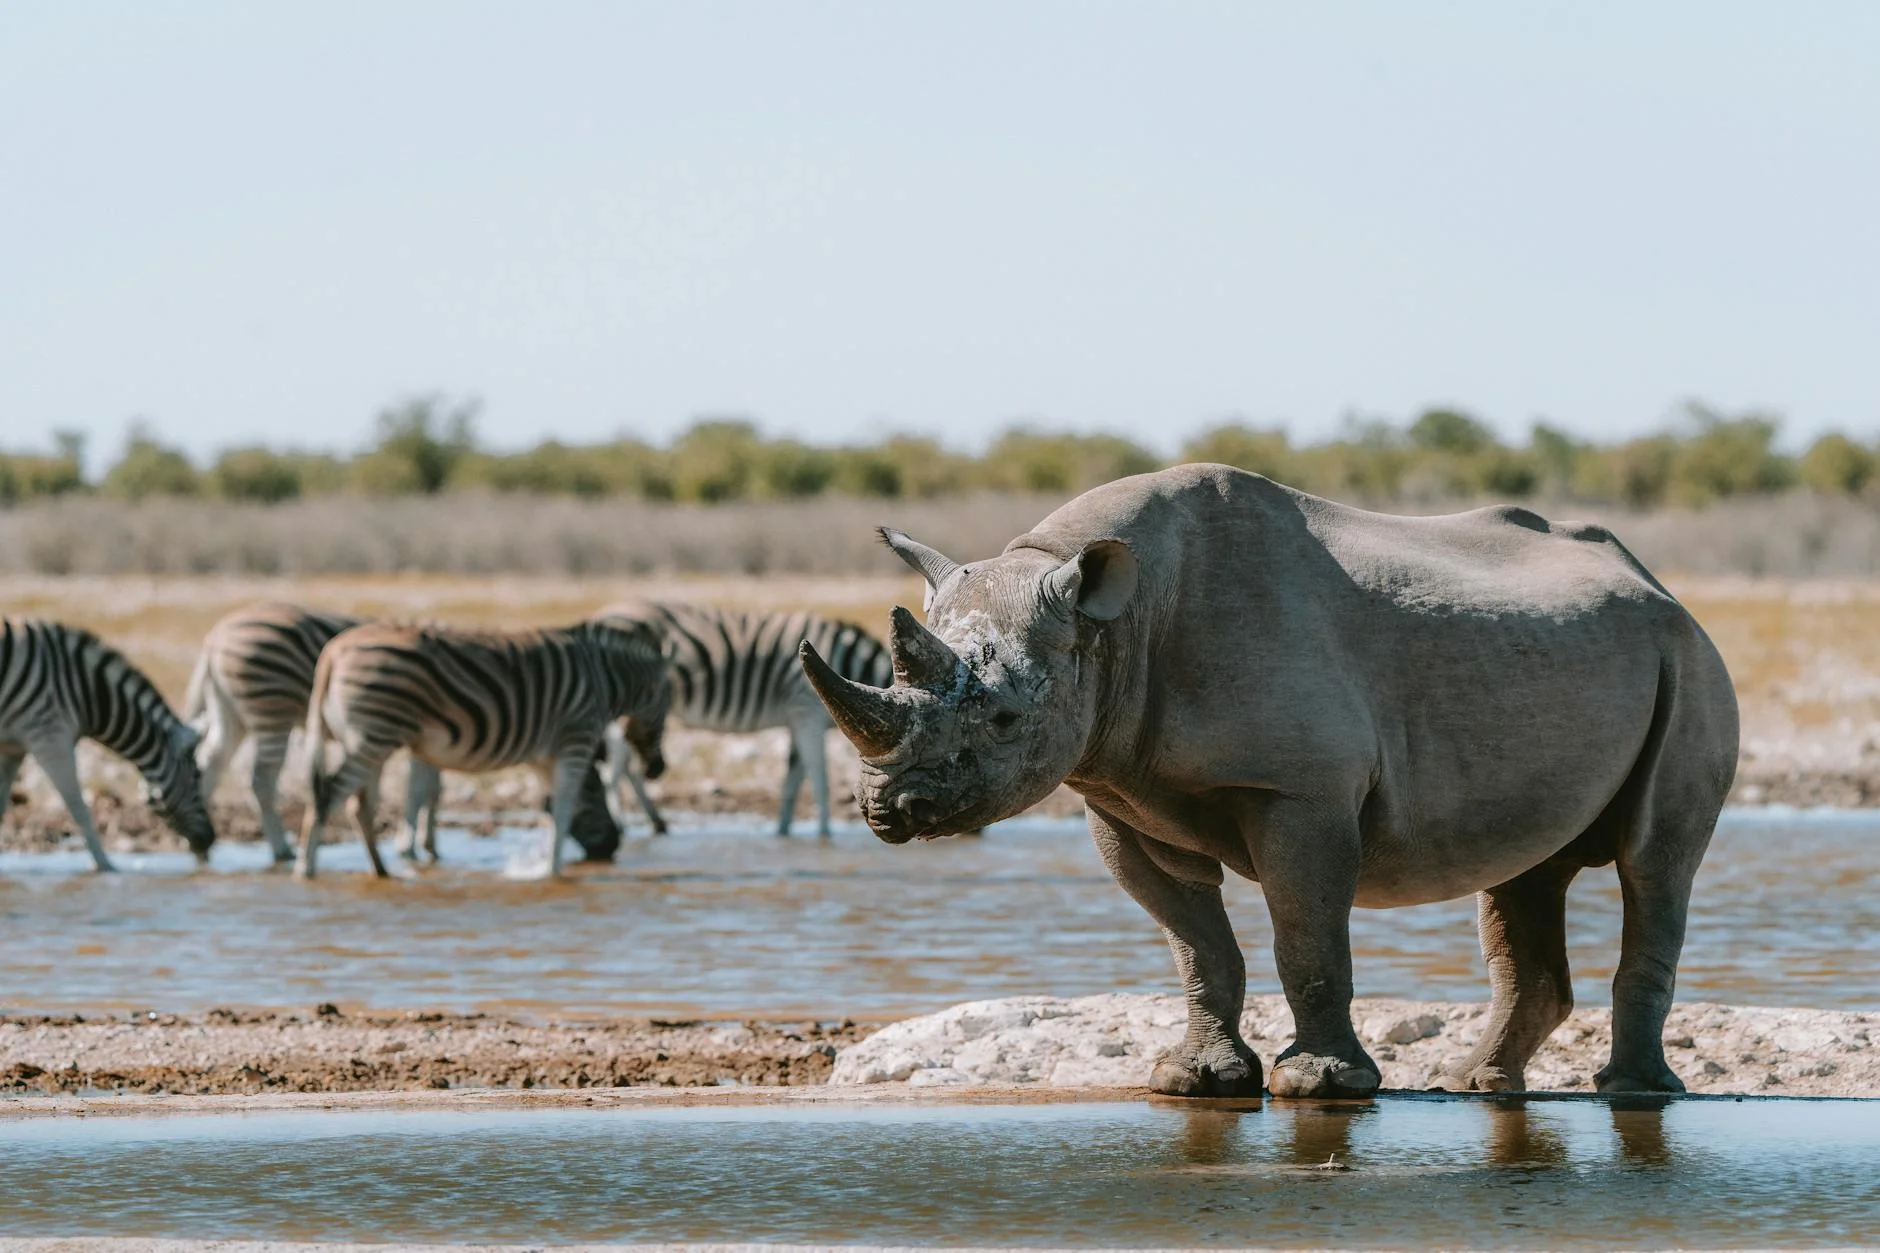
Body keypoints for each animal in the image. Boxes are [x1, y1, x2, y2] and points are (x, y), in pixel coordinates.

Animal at [800, 464, 1738, 1099]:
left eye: (1001, 719)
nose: (890, 808)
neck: (1113, 626)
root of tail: (1659, 583)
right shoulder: (1118, 793)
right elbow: (1196, 942)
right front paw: (1194, 1079)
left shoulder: (1301, 790)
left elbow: (1306, 935)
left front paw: (1319, 1086)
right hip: (1581, 659)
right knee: (1524, 873)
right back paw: (1473, 1083)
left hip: (1689, 658)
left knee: (1653, 862)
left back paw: (1631, 1093)